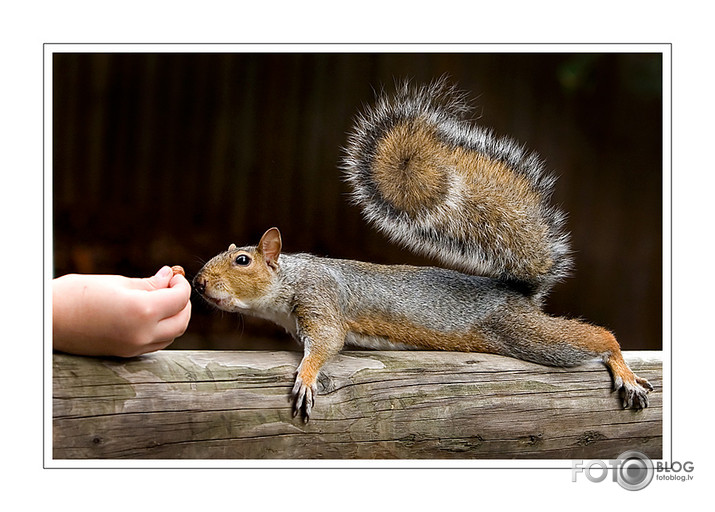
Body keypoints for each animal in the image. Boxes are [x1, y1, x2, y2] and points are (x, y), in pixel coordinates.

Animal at [194, 79, 656, 420]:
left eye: (242, 260)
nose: (198, 283)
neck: (289, 278)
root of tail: (518, 294)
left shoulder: (320, 299)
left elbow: (326, 343)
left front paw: (307, 378)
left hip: (522, 333)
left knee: (597, 338)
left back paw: (624, 370)